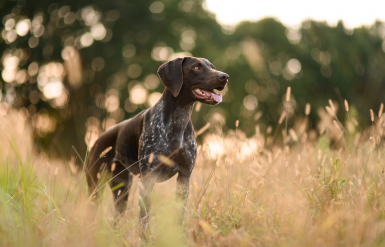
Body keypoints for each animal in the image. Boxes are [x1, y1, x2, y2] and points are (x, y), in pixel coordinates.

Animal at [85, 57, 228, 227]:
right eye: (196, 67)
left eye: (212, 66)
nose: (225, 76)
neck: (179, 120)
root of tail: (97, 140)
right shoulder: (147, 179)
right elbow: (144, 219)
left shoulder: (184, 176)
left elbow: (178, 215)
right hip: (96, 187)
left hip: (122, 188)